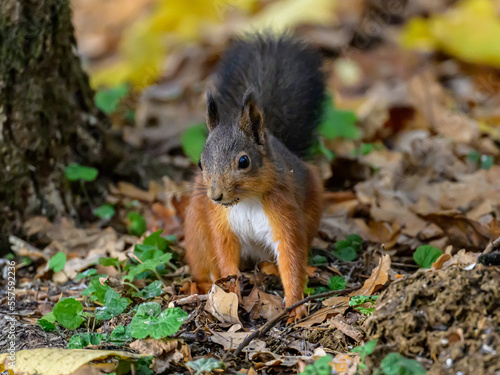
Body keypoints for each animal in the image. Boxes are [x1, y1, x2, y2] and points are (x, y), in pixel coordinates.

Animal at [184, 34, 324, 320]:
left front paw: (295, 304)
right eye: (200, 163)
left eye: (244, 161)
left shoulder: (285, 213)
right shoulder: (221, 224)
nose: (215, 196)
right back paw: (201, 284)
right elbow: (225, 258)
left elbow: (291, 257)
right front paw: (231, 294)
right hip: (195, 227)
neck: (246, 201)